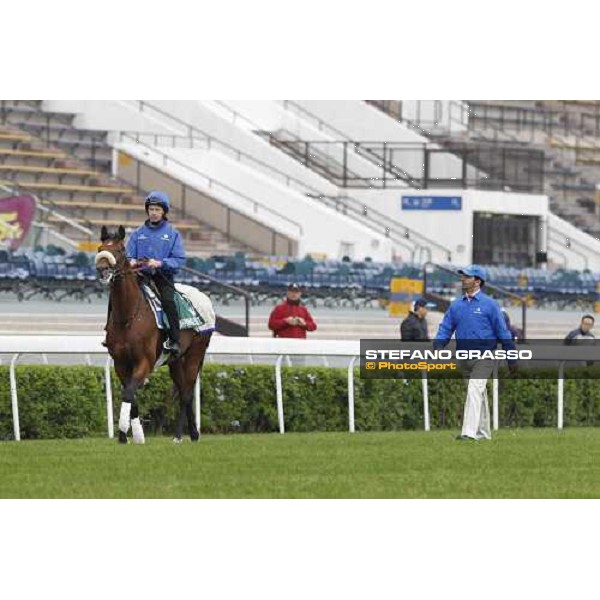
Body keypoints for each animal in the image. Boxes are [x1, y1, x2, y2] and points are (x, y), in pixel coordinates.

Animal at [94, 227, 213, 442]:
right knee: (184, 390)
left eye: (120, 250)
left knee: (186, 394)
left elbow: (128, 393)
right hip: (176, 361)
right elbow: (130, 395)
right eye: (100, 248)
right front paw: (136, 435)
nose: (103, 270)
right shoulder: (120, 364)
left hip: (195, 353)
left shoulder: (145, 362)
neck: (129, 317)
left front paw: (124, 433)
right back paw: (193, 433)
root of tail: (205, 299)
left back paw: (178, 436)